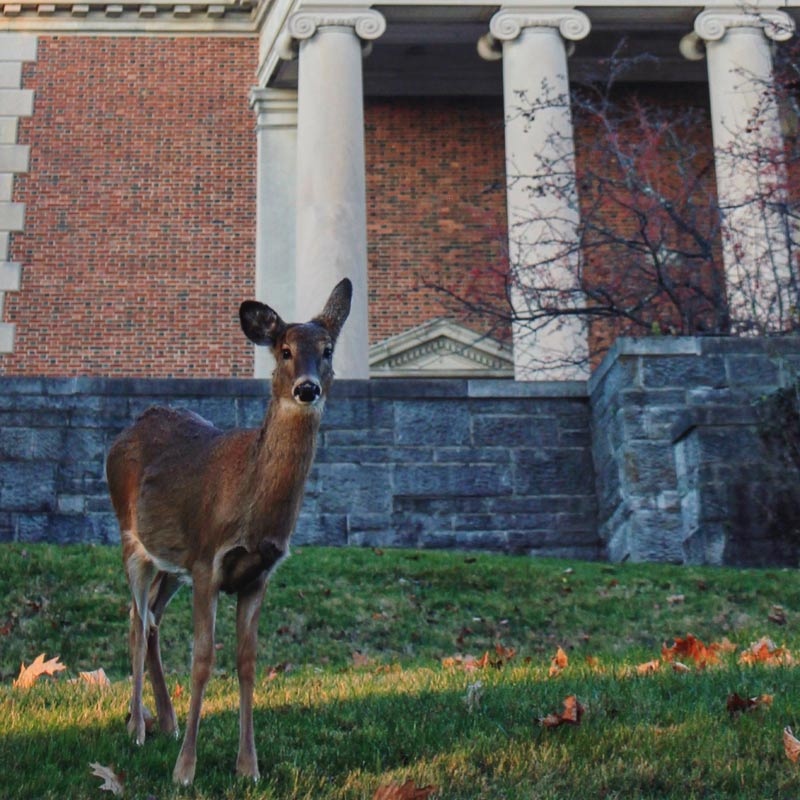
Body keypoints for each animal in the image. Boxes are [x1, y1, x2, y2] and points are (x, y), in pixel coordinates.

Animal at [105, 278, 350, 784]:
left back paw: (167, 721)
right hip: (130, 538)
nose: (307, 388)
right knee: (137, 620)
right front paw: (184, 770)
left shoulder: (257, 574)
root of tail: (126, 432)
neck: (252, 504)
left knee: (152, 618)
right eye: (284, 350)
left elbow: (247, 663)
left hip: (171, 565)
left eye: (327, 349)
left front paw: (248, 766)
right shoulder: (207, 562)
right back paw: (137, 727)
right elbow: (202, 661)